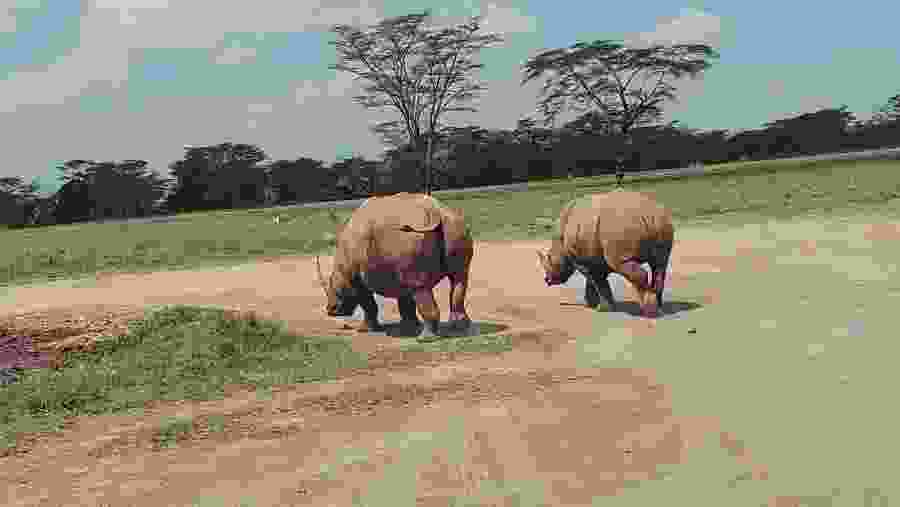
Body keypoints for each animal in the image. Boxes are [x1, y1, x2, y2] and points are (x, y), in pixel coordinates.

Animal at [316, 192, 474, 339]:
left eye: (334, 289)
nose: (331, 310)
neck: (340, 268)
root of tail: (436, 213)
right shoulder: (399, 270)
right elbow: (405, 301)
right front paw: (409, 326)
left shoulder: (357, 280)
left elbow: (368, 304)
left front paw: (364, 330)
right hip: (454, 225)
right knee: (459, 277)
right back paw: (459, 328)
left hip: (410, 237)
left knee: (421, 286)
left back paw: (425, 339)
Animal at [537, 190, 674, 318]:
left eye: (549, 260)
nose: (547, 280)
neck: (559, 243)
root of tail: (647, 217)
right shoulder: (596, 258)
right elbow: (596, 281)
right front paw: (593, 304)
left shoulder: (584, 261)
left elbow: (596, 280)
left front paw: (601, 308)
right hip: (662, 221)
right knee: (660, 265)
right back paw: (659, 309)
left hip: (621, 228)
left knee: (629, 266)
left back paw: (649, 313)